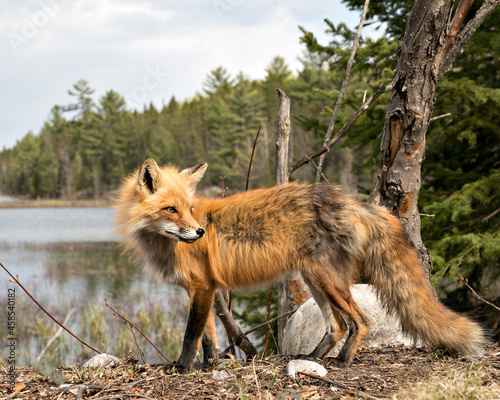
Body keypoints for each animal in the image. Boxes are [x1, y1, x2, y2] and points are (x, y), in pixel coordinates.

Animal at [115, 159, 486, 372]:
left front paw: (180, 368)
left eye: (190, 209)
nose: (199, 231)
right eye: (171, 209)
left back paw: (342, 362)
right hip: (314, 281)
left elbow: (191, 334)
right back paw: (311, 358)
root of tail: (351, 200)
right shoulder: (200, 289)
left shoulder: (203, 288)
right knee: (337, 326)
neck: (164, 245)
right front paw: (206, 366)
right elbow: (208, 337)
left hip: (326, 280)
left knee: (359, 321)